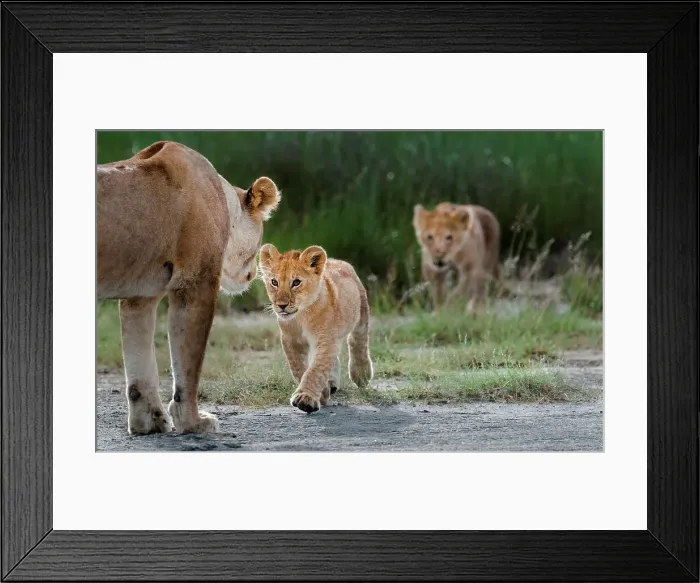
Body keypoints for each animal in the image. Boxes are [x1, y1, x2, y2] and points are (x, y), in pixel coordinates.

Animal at [97, 140, 281, 435]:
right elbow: (189, 364)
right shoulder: (196, 284)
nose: (253, 274)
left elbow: (140, 362)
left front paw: (149, 423)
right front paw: (193, 422)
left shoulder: (140, 297)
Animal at [257, 244, 374, 414]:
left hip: (361, 314)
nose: (282, 305)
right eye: (274, 282)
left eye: (296, 282)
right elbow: (299, 368)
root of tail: (336, 260)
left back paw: (361, 374)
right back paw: (331, 384)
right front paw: (323, 393)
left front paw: (306, 399)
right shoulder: (291, 341)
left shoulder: (325, 340)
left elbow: (316, 369)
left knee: (358, 342)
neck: (301, 316)